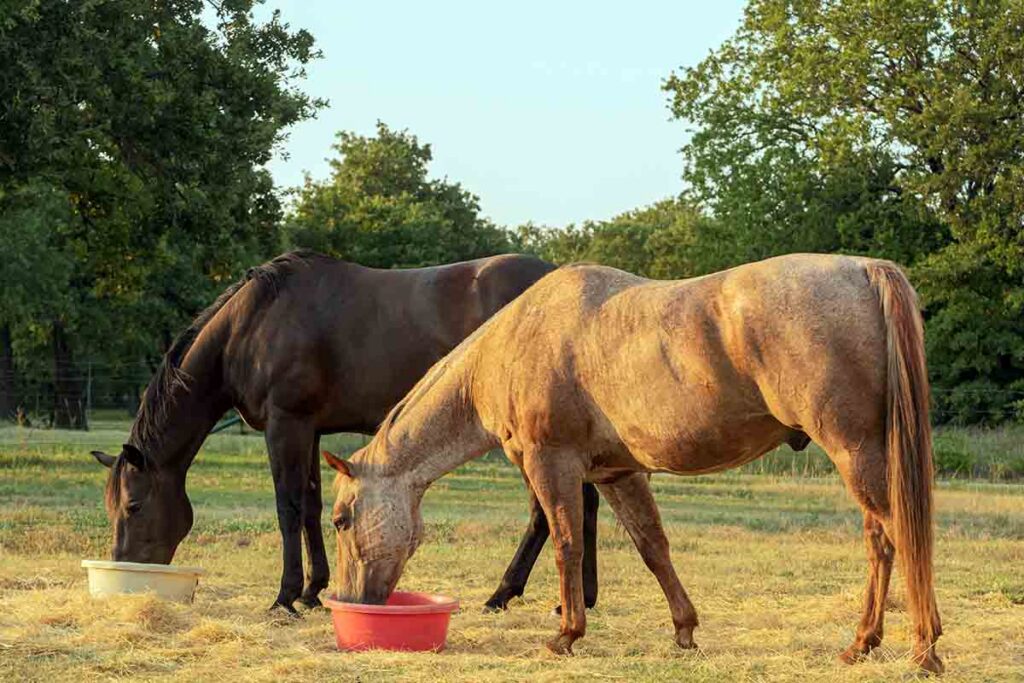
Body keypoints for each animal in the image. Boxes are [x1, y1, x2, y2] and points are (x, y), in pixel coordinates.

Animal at [89, 250, 603, 614]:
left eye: (133, 506)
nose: (125, 568)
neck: (252, 326)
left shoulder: (285, 424)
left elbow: (288, 506)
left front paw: (285, 596)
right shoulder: (311, 428)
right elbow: (312, 504)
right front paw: (313, 590)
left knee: (548, 511)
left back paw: (503, 593)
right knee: (584, 503)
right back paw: (578, 599)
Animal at [322, 253, 943, 673]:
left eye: (341, 520)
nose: (352, 602)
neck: (514, 344)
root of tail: (864, 269)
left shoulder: (552, 464)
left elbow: (566, 543)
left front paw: (567, 634)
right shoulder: (619, 474)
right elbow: (653, 548)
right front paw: (684, 630)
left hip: (853, 452)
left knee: (898, 535)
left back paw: (922, 648)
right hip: (867, 457)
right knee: (882, 539)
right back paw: (863, 644)